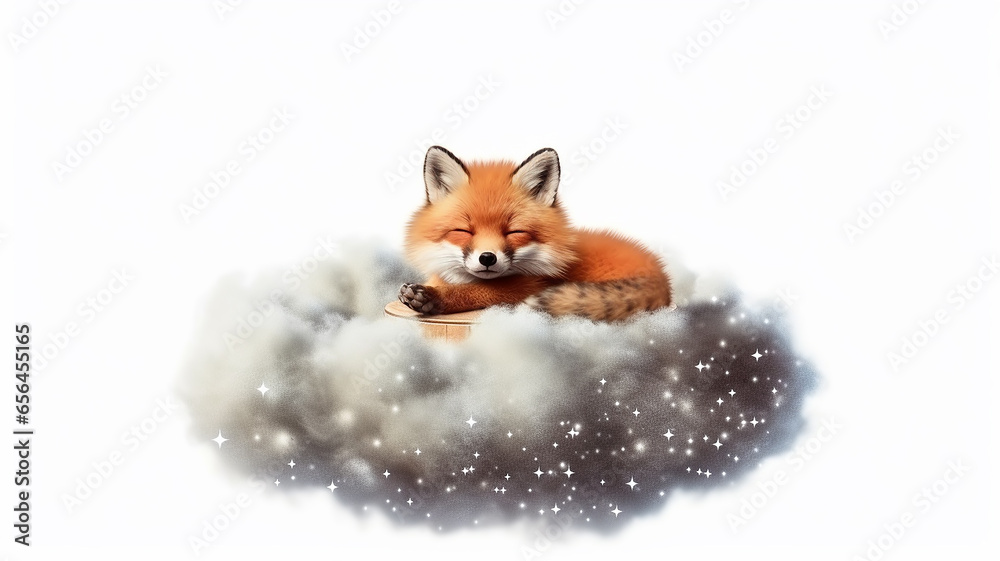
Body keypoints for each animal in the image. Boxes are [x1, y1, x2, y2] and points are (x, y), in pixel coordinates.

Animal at [398, 146, 672, 321]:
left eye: (514, 231)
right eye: (464, 231)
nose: (487, 258)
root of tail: (661, 273)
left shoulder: (528, 286)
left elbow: (474, 293)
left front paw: (435, 298)